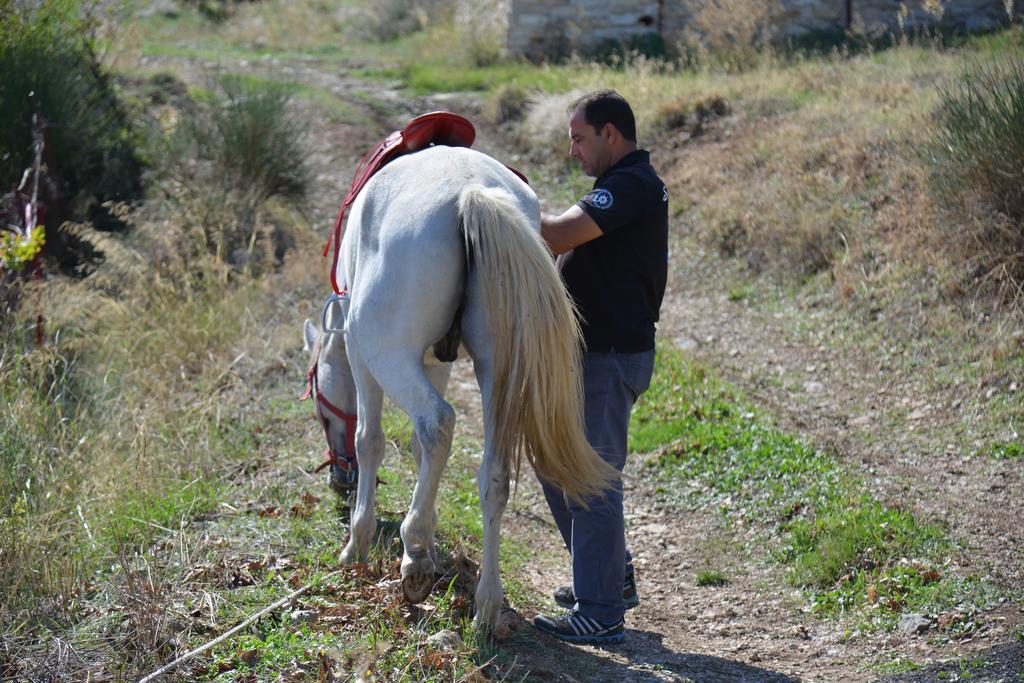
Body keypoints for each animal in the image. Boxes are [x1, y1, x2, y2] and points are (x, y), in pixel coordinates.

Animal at [299, 147, 610, 634]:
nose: (339, 480)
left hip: (388, 355)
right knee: (492, 473)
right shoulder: (435, 362)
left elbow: (371, 440)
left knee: (438, 422)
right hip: (495, 365)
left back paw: (416, 558)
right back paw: (486, 603)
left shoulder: (361, 353)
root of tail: (471, 192)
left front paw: (359, 542)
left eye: (319, 408)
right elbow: (417, 449)